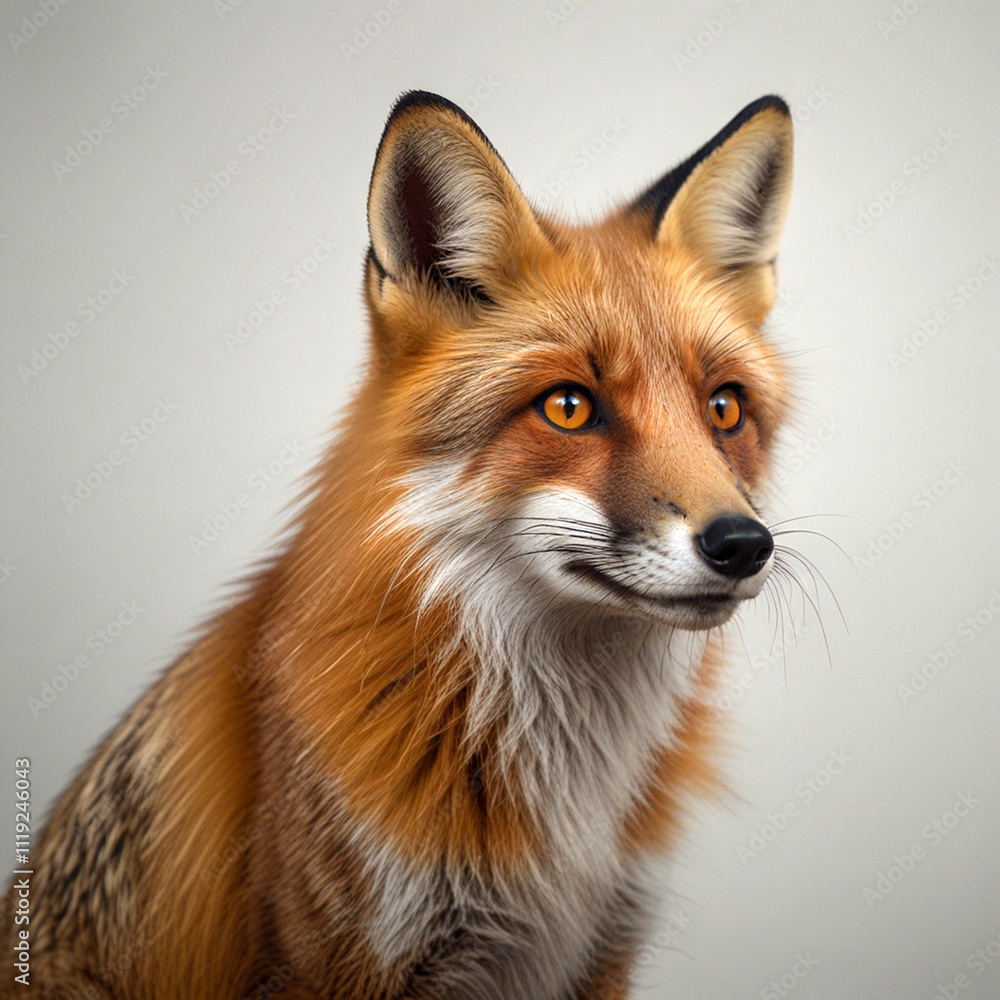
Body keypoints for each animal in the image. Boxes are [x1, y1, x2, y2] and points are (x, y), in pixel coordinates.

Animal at [3, 91, 795, 999]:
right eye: (568, 407)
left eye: (724, 408)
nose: (743, 544)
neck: (567, 805)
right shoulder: (342, 960)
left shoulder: (603, 949)